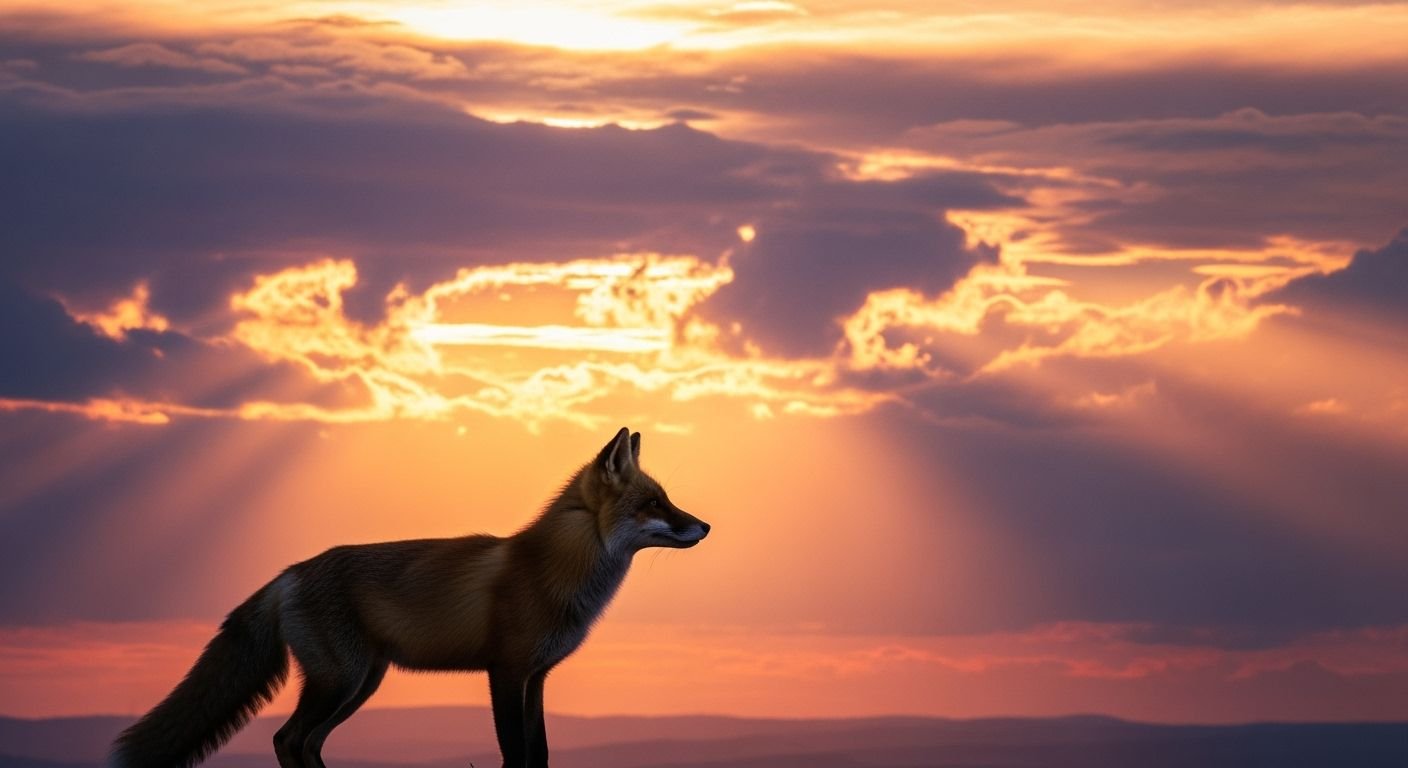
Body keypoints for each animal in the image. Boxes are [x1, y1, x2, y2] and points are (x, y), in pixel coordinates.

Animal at [110, 427, 709, 768]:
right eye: (654, 504)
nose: (705, 526)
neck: (552, 572)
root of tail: (290, 572)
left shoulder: (536, 677)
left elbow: (539, 754)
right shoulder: (505, 672)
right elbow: (514, 755)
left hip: (360, 683)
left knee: (305, 744)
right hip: (340, 681)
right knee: (286, 739)